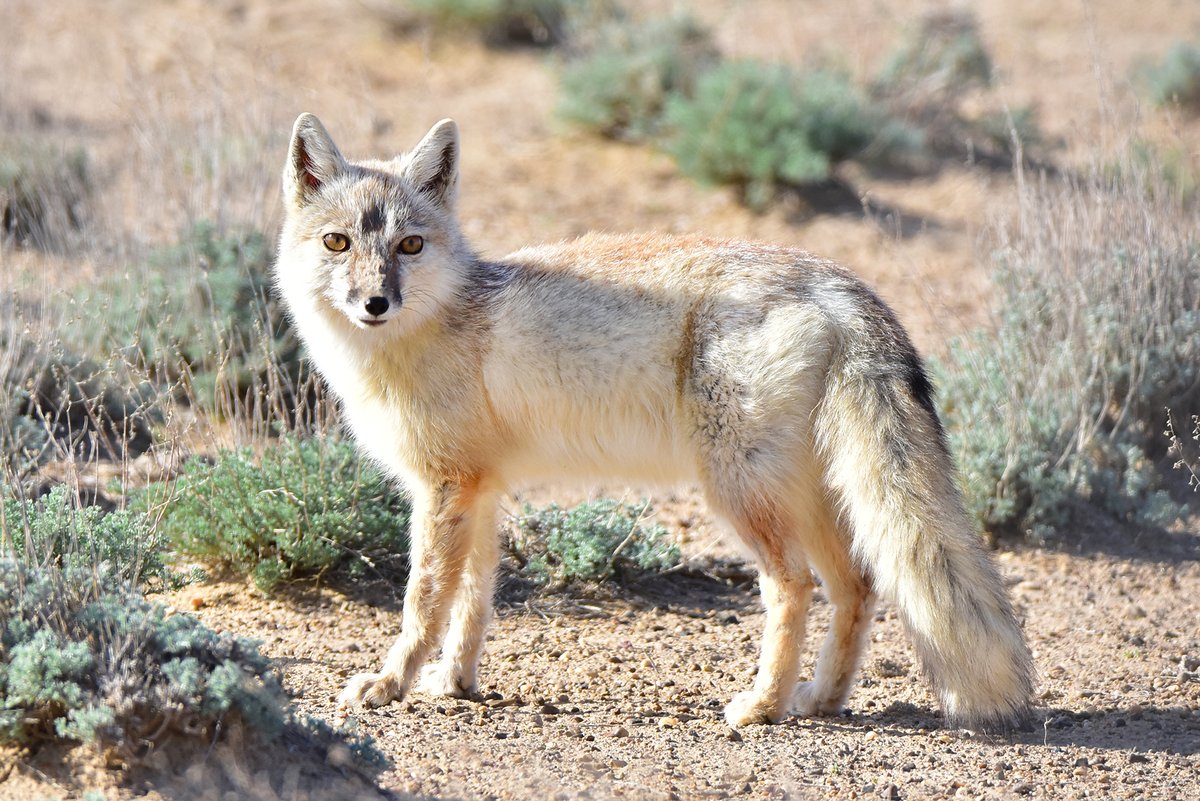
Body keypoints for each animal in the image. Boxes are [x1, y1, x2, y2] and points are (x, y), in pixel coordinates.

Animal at [273, 113, 1034, 730]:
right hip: (812, 494)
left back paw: (763, 706)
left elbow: (423, 601)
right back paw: (820, 699)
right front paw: (454, 683)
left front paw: (391, 682)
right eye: (338, 243)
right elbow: (473, 602)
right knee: (858, 584)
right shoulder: (478, 488)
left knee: (795, 586)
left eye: (409, 247)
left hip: (740, 492)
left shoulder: (444, 488)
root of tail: (832, 279)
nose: (375, 302)